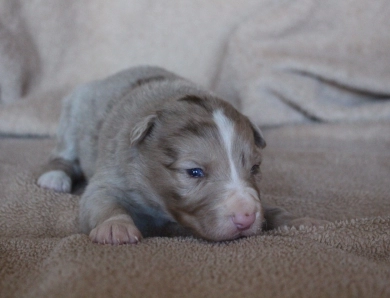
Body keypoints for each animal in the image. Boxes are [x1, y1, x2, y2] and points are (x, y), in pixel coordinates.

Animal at [38, 66, 326, 244]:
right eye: (194, 172)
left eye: (255, 169)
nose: (245, 216)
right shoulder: (114, 172)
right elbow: (101, 201)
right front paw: (115, 228)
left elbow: (270, 208)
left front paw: (296, 219)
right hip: (72, 115)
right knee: (63, 154)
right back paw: (54, 177)